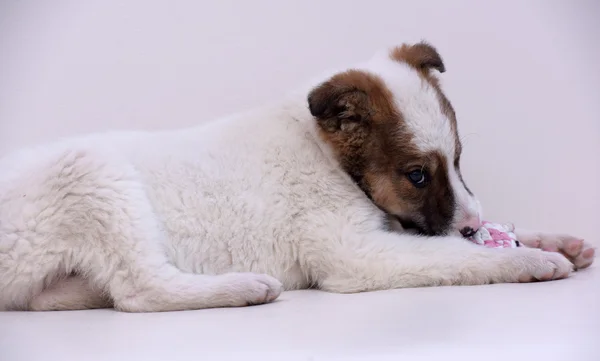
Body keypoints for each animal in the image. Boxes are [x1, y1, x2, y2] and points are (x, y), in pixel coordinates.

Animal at [0, 42, 596, 310]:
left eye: (458, 160)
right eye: (417, 176)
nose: (474, 223)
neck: (328, 158)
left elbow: (469, 241)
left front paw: (556, 241)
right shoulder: (357, 257)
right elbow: (457, 256)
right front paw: (531, 259)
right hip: (92, 172)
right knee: (139, 291)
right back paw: (244, 286)